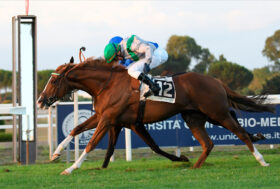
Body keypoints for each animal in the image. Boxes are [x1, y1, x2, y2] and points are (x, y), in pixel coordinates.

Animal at [37, 56, 276, 175]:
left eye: (54, 80)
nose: (40, 100)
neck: (107, 84)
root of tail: (216, 81)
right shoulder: (104, 116)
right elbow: (76, 128)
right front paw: (56, 153)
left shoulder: (108, 119)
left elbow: (91, 143)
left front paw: (71, 168)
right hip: (194, 117)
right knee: (208, 143)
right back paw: (193, 167)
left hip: (217, 112)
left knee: (241, 134)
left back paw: (262, 161)